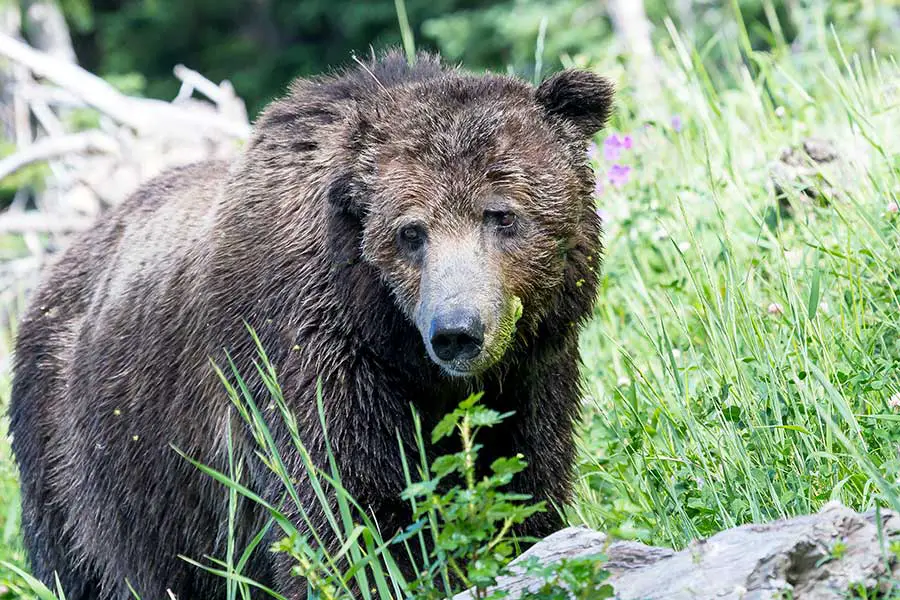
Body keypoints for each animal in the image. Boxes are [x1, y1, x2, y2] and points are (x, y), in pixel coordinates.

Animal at [8, 51, 612, 600]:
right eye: (410, 232)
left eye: (501, 215)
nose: (456, 331)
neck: (400, 350)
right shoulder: (311, 357)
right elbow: (343, 513)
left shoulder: (530, 376)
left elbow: (524, 482)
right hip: (84, 459)